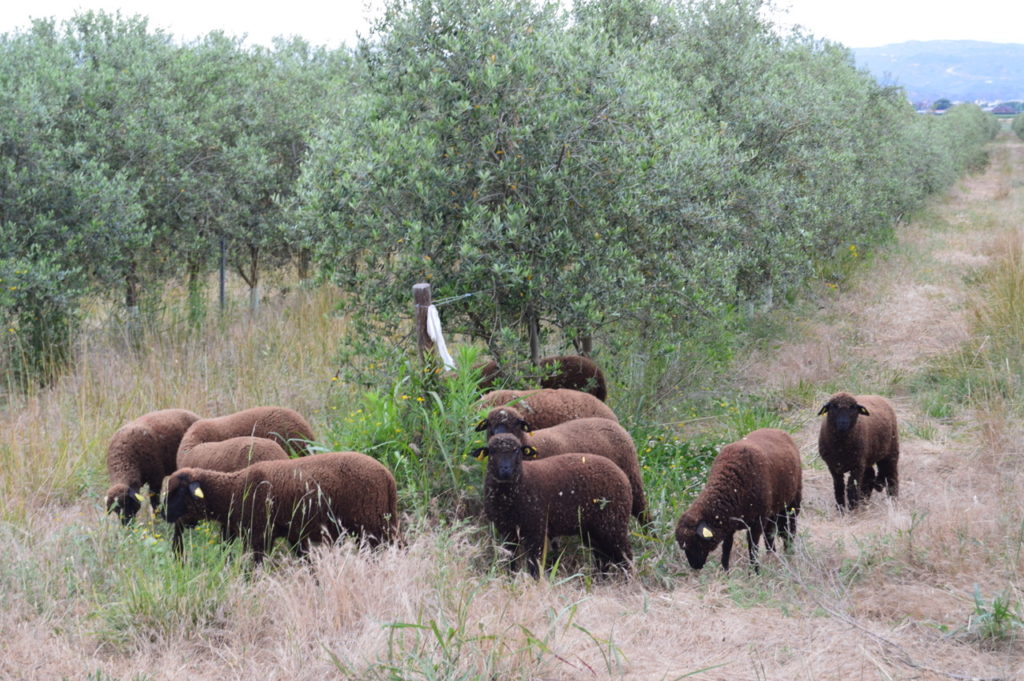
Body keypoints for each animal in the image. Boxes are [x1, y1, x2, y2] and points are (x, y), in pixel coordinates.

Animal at [163, 451, 398, 564]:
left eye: (179, 492)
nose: (163, 514)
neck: (234, 491)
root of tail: (387, 477)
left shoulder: (260, 536)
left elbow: (254, 568)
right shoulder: (293, 535)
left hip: (372, 524)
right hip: (381, 523)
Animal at [474, 405, 648, 522]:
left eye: (515, 424)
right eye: (489, 424)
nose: (498, 437)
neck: (531, 443)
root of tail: (616, 424)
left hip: (631, 474)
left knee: (642, 511)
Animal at [479, 433, 633, 578]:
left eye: (516, 450)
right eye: (492, 451)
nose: (505, 471)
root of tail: (623, 476)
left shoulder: (536, 528)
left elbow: (533, 563)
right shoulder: (506, 529)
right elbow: (510, 560)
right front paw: (511, 579)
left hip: (613, 523)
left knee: (625, 556)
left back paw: (628, 581)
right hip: (594, 528)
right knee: (603, 557)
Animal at [675, 428, 802, 571]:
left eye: (696, 543)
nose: (695, 566)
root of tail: (776, 430)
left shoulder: (756, 524)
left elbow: (753, 548)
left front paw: (755, 571)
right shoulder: (729, 524)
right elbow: (727, 548)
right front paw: (726, 570)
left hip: (793, 501)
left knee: (789, 529)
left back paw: (789, 553)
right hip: (773, 509)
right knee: (770, 532)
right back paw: (772, 555)